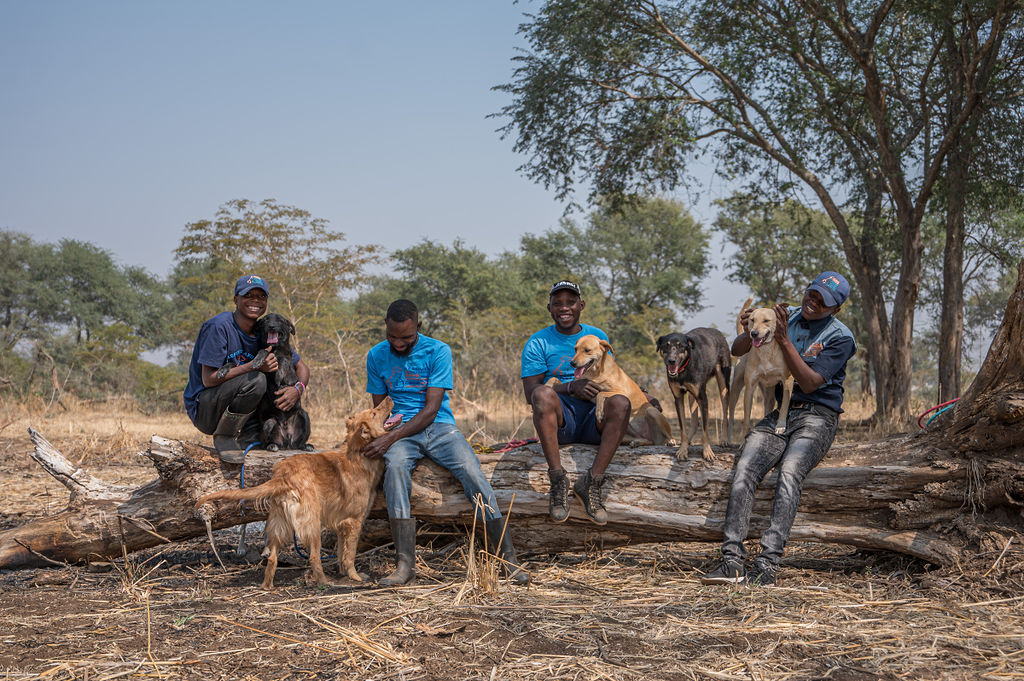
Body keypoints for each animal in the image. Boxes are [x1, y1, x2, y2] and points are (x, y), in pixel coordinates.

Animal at [193, 395, 401, 585]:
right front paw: (355, 577)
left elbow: (341, 553)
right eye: (374, 413)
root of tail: (283, 476)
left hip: (279, 524)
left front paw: (343, 573)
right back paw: (325, 582)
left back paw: (267, 586)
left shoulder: (342, 524)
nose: (390, 397)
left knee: (272, 558)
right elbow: (349, 556)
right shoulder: (353, 522)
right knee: (314, 557)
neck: (359, 454)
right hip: (313, 524)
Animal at [251, 313, 311, 450]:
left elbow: (282, 360)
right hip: (269, 423)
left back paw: (305, 446)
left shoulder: (287, 360)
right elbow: (264, 351)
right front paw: (258, 359)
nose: (271, 326)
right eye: (265, 320)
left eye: (279, 320)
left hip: (304, 416)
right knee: (269, 442)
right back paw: (272, 445)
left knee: (299, 442)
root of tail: (288, 440)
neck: (276, 348)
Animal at [659, 329, 733, 462]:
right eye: (665, 346)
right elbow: (682, 427)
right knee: (694, 421)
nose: (671, 361)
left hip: (723, 384)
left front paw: (707, 452)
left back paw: (724, 439)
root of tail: (718, 332)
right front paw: (683, 450)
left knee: (725, 415)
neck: (684, 369)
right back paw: (689, 440)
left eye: (680, 346)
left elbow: (705, 430)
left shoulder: (703, 399)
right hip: (691, 396)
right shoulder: (678, 399)